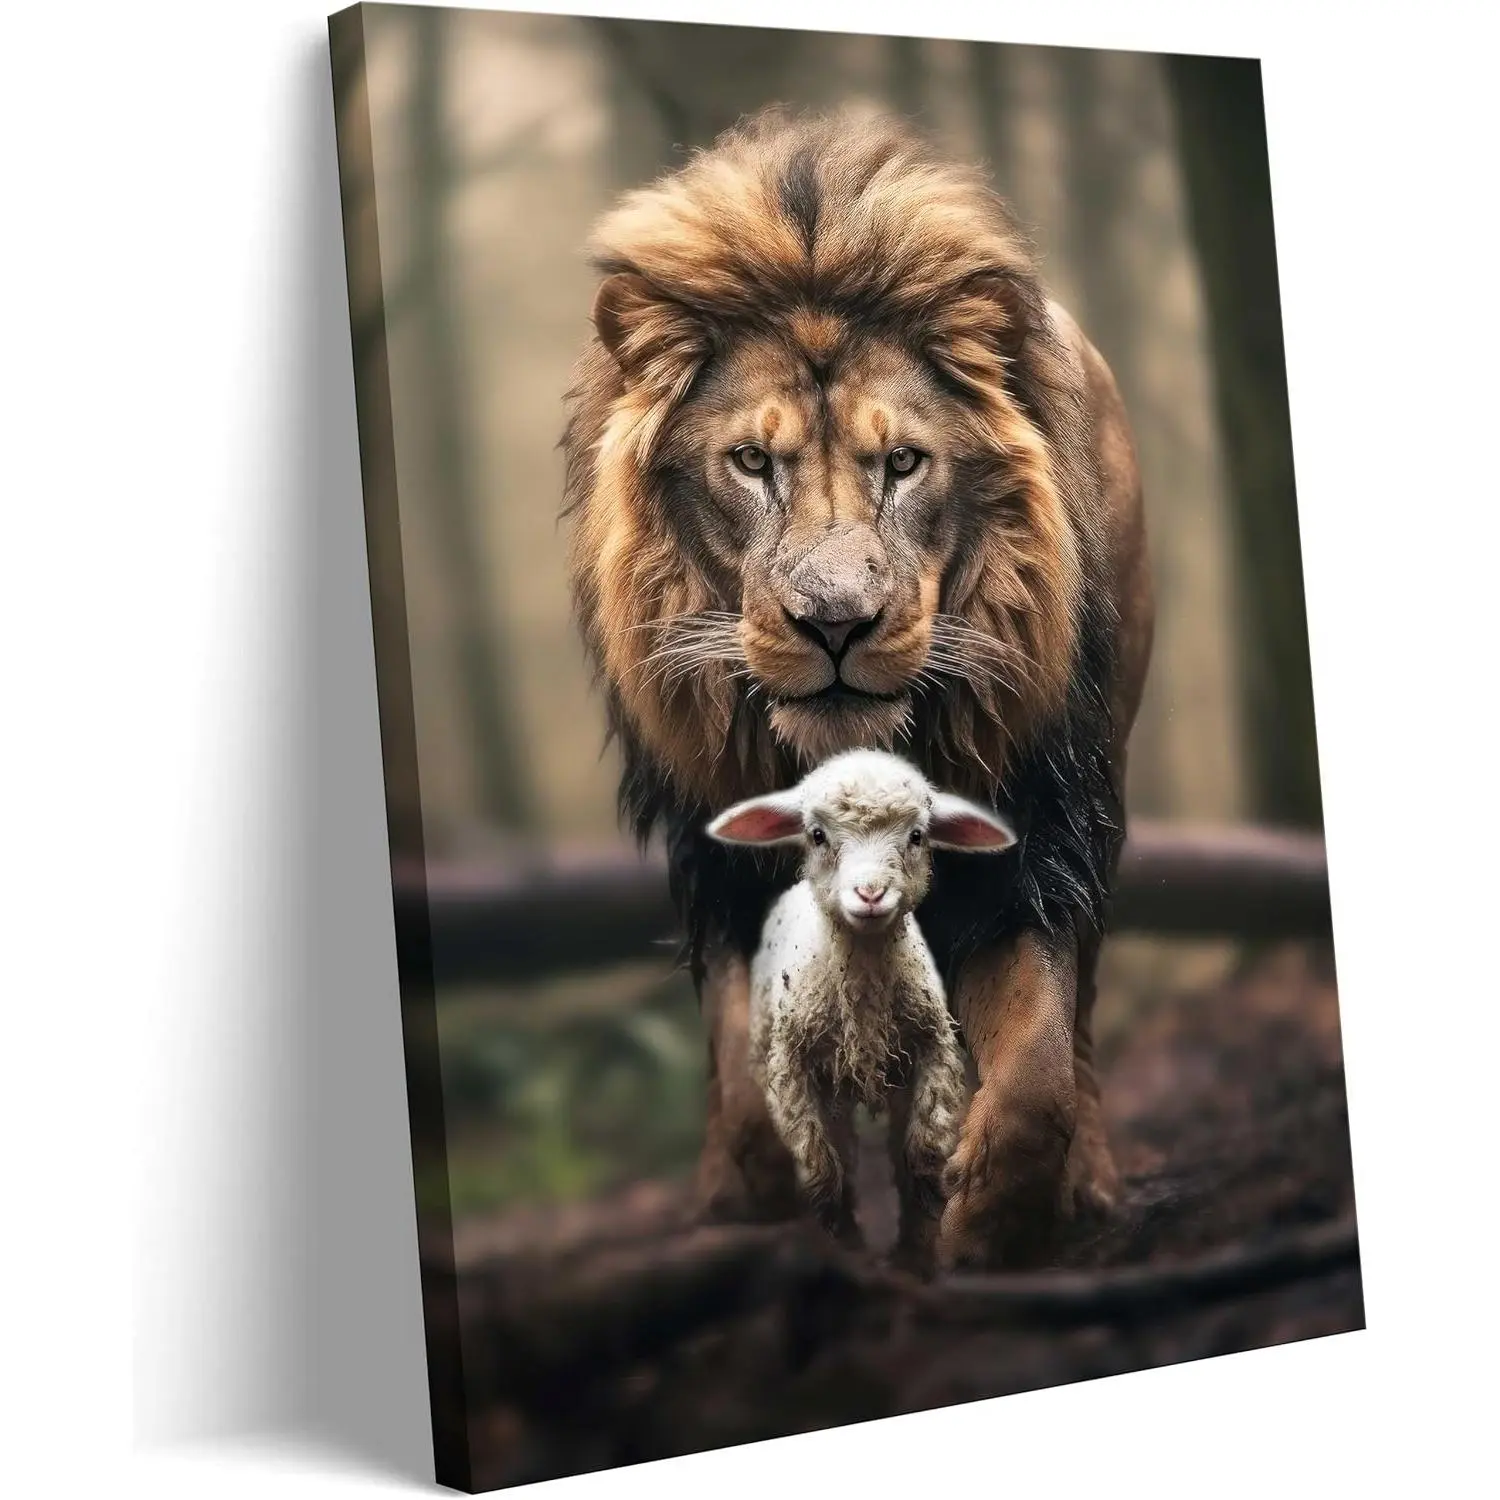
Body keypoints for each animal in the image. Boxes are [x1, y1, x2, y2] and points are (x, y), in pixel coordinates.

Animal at [706, 749, 1016, 1274]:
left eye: (917, 836)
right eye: (817, 834)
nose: (870, 895)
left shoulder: (933, 1050)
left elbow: (920, 1156)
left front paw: (916, 1253)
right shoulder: (789, 1069)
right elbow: (821, 1167)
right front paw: (841, 1244)